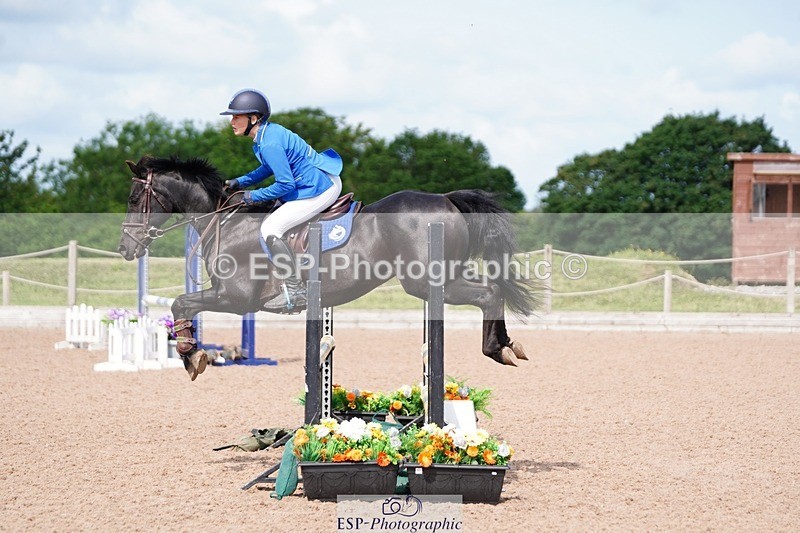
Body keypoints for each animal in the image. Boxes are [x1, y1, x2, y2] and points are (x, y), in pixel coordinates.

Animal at [117, 155, 539, 380]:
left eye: (135, 198)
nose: (125, 248)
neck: (226, 221)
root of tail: (447, 199)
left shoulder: (235, 299)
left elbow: (180, 303)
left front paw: (191, 355)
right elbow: (181, 304)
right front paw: (190, 352)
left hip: (426, 283)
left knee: (489, 293)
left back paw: (497, 348)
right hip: (444, 276)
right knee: (493, 291)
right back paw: (507, 344)